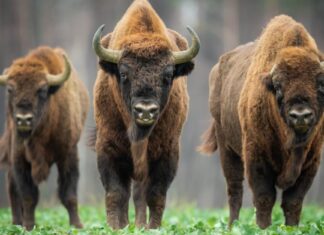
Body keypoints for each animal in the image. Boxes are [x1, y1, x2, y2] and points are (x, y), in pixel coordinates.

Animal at [0, 46, 89, 230]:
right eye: (10, 89)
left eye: (41, 90)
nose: (23, 119)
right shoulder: (19, 158)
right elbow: (28, 196)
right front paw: (28, 226)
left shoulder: (68, 155)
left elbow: (69, 194)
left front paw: (77, 225)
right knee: (12, 186)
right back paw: (16, 222)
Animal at [91, 0, 200, 229]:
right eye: (124, 74)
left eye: (168, 75)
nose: (146, 110)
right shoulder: (108, 149)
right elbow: (115, 193)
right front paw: (115, 228)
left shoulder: (166, 153)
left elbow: (155, 195)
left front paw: (152, 228)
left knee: (140, 195)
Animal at [199, 14, 324, 228]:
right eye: (279, 86)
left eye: (321, 84)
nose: (300, 115)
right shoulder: (256, 156)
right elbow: (264, 197)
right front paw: (263, 228)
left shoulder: (311, 161)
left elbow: (293, 201)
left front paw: (291, 229)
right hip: (227, 148)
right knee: (235, 191)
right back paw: (232, 226)